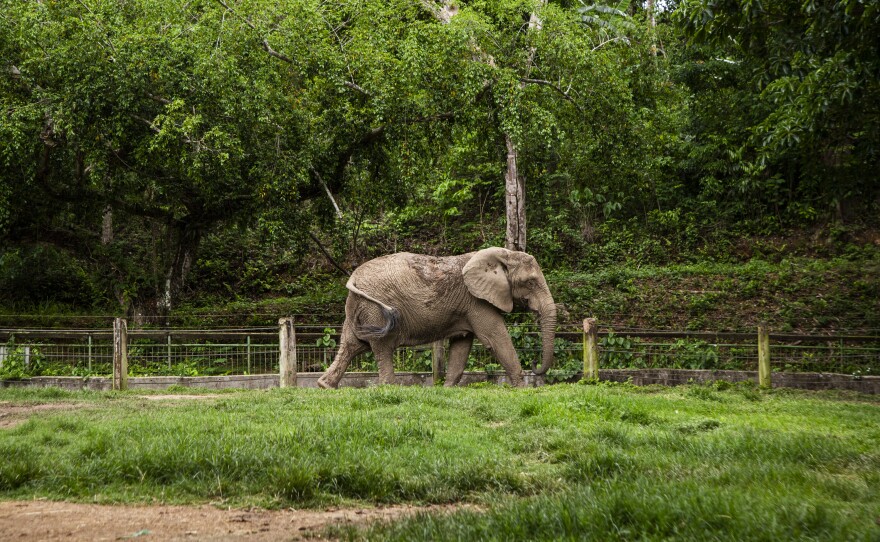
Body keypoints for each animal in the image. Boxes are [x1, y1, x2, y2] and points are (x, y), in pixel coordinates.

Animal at [318, 249, 556, 388]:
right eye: (531, 282)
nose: (535, 366)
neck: (504, 254)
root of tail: (353, 277)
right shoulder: (477, 301)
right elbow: (495, 338)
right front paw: (522, 389)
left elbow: (462, 344)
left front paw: (447, 388)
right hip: (374, 309)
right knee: (382, 347)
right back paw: (389, 388)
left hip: (360, 308)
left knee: (351, 345)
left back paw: (325, 386)